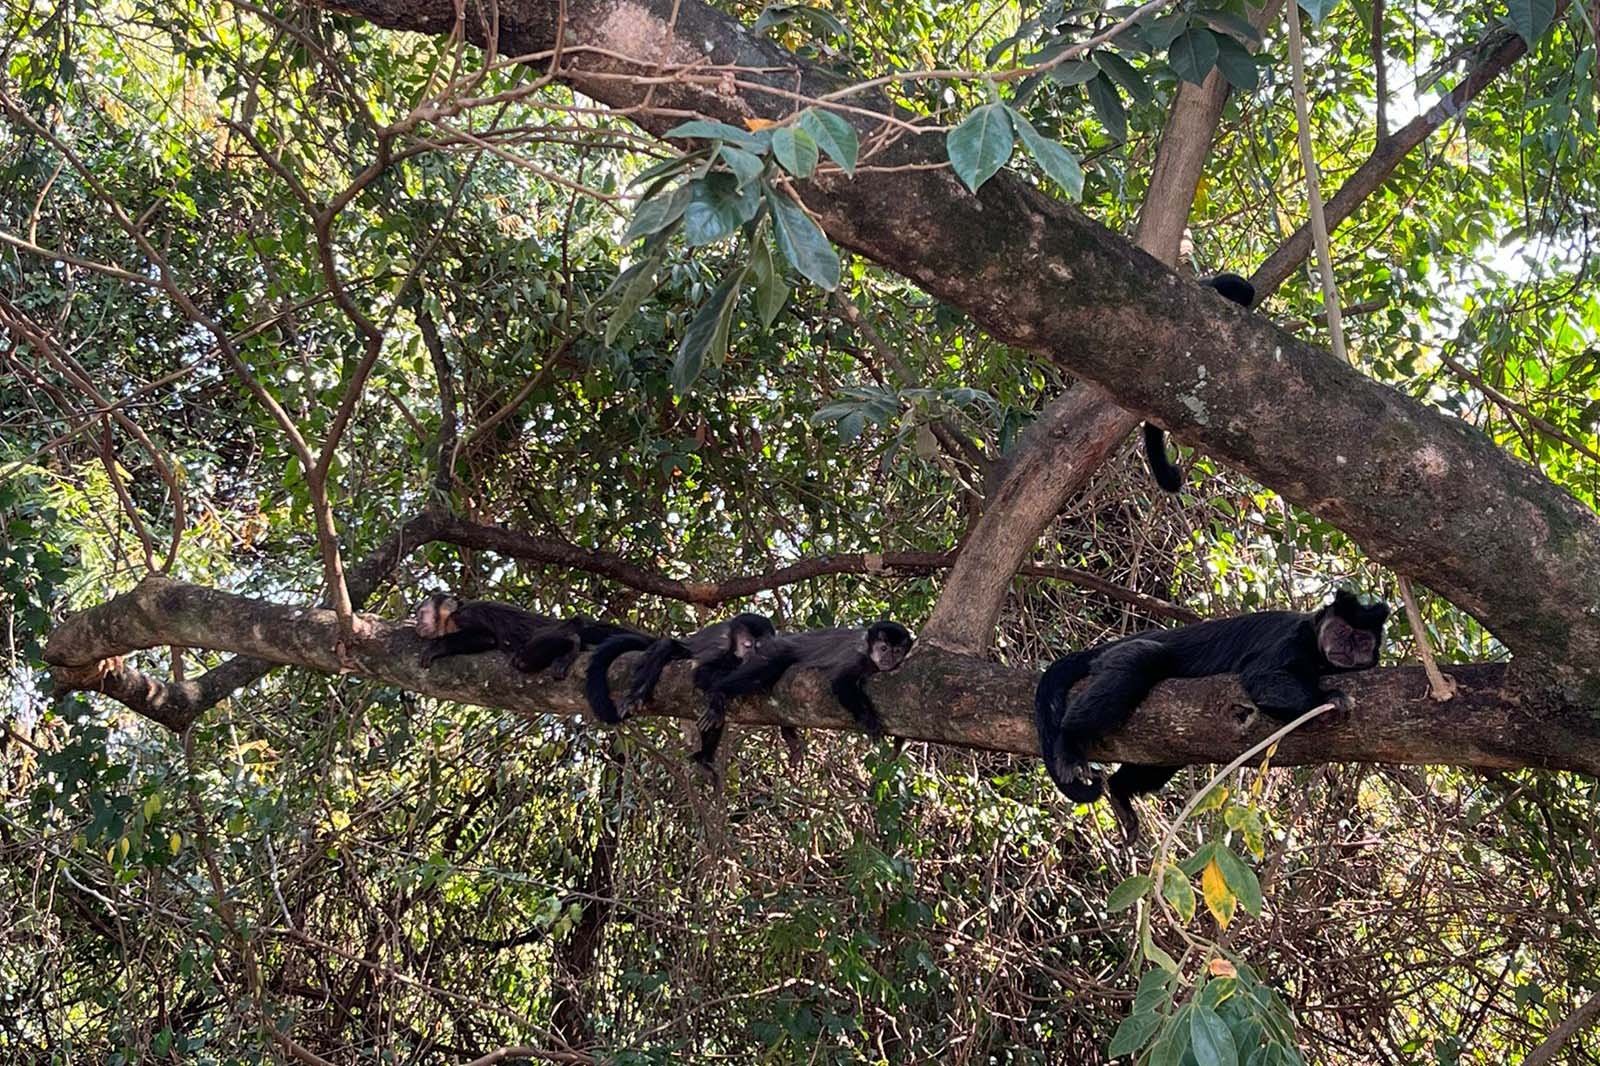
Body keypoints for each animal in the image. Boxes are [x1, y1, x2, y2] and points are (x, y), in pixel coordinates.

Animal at [585, 611, 777, 726]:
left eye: (762, 647)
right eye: (748, 645)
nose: (753, 656)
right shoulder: (721, 645)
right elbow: (702, 674)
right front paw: (717, 699)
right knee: (667, 646)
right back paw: (636, 696)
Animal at [697, 617, 921, 768]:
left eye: (897, 651)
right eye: (883, 648)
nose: (889, 659)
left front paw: (898, 746)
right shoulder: (856, 657)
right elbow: (841, 683)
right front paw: (870, 720)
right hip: (777, 650)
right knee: (764, 669)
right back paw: (718, 693)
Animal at [1036, 589, 1388, 838]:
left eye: (1361, 639)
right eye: (1341, 632)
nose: (1346, 647)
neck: (1319, 653)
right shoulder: (1293, 638)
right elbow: (1264, 678)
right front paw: (1328, 699)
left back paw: (1120, 791)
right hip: (1118, 656)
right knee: (1144, 659)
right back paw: (1069, 743)